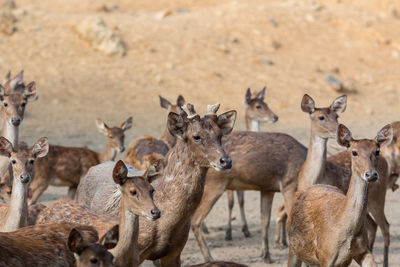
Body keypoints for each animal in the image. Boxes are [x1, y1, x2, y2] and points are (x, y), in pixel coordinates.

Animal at [225, 87, 278, 242]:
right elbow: (231, 202)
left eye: (266, 103)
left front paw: (246, 230)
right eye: (258, 106)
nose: (275, 117)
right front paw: (228, 233)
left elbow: (241, 201)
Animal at [288, 124, 394, 267]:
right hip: (294, 248)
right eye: (354, 152)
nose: (371, 174)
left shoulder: (362, 251)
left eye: (377, 151)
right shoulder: (325, 257)